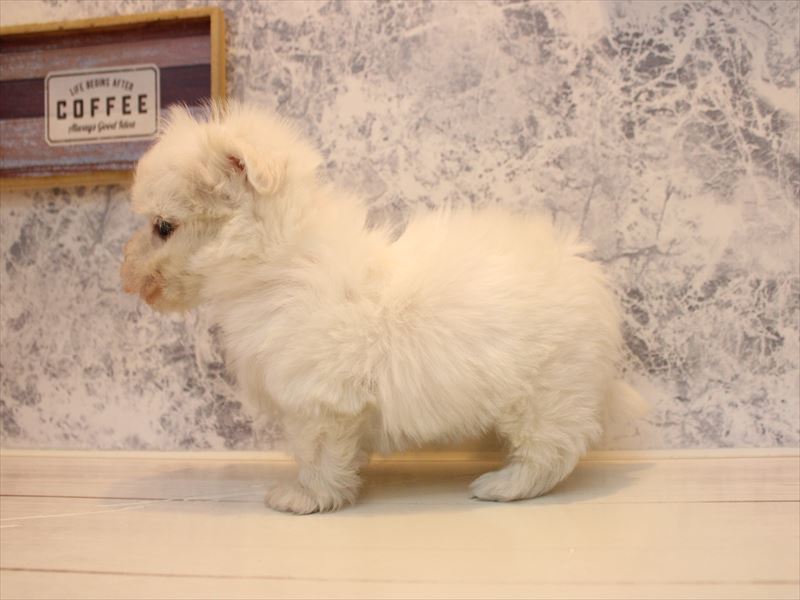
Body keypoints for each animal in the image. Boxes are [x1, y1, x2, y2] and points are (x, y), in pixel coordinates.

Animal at [121, 102, 644, 514]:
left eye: (163, 227)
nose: (125, 273)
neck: (280, 260)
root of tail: (585, 272)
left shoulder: (318, 400)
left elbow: (317, 452)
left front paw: (306, 497)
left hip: (546, 390)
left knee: (553, 448)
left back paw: (503, 485)